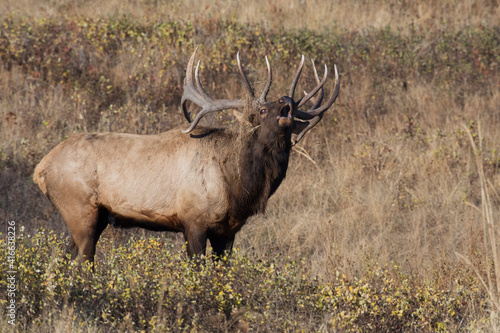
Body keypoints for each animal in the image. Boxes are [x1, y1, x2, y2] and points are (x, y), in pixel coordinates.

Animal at [32, 48, 340, 260]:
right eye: (262, 110)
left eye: (290, 107)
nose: (286, 101)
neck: (238, 186)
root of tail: (40, 169)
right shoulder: (194, 221)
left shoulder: (228, 232)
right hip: (79, 209)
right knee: (82, 260)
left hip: (91, 218)